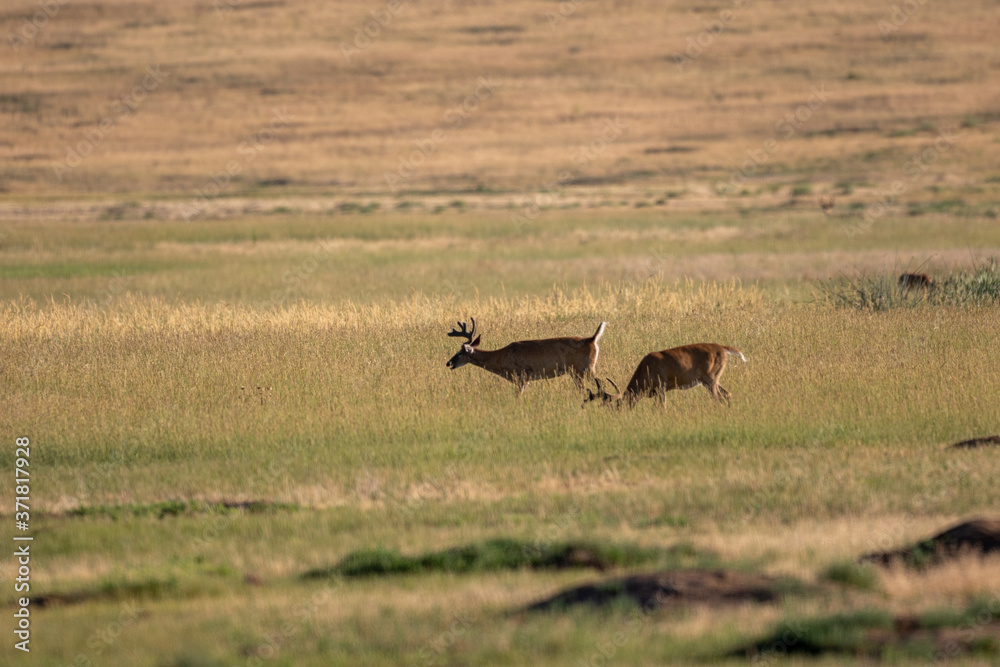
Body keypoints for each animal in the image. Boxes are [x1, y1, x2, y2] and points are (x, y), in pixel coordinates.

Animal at [446, 318, 606, 395]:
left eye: (460, 352)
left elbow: (518, 396)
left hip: (586, 368)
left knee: (602, 382)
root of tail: (592, 339)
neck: (501, 358)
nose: (448, 363)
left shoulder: (522, 375)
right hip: (576, 372)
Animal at [582, 343, 746, 408]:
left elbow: (661, 407)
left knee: (718, 397)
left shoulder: (661, 386)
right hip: (713, 379)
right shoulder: (657, 391)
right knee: (727, 394)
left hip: (710, 378)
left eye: (617, 407)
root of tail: (723, 349)